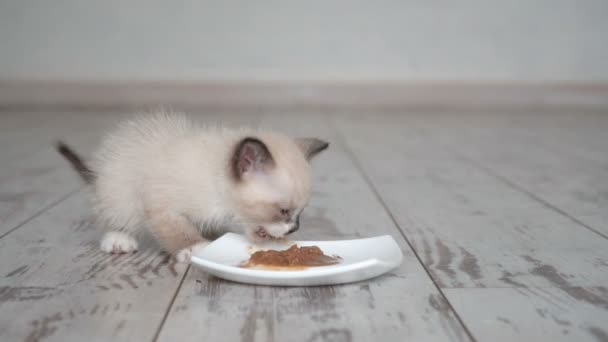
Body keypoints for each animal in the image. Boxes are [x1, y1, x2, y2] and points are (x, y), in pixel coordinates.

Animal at [58, 112, 328, 262]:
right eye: (283, 211)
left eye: (300, 213)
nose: (294, 228)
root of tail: (97, 173)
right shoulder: (161, 205)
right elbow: (178, 231)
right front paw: (197, 248)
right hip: (119, 190)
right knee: (112, 215)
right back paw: (118, 239)